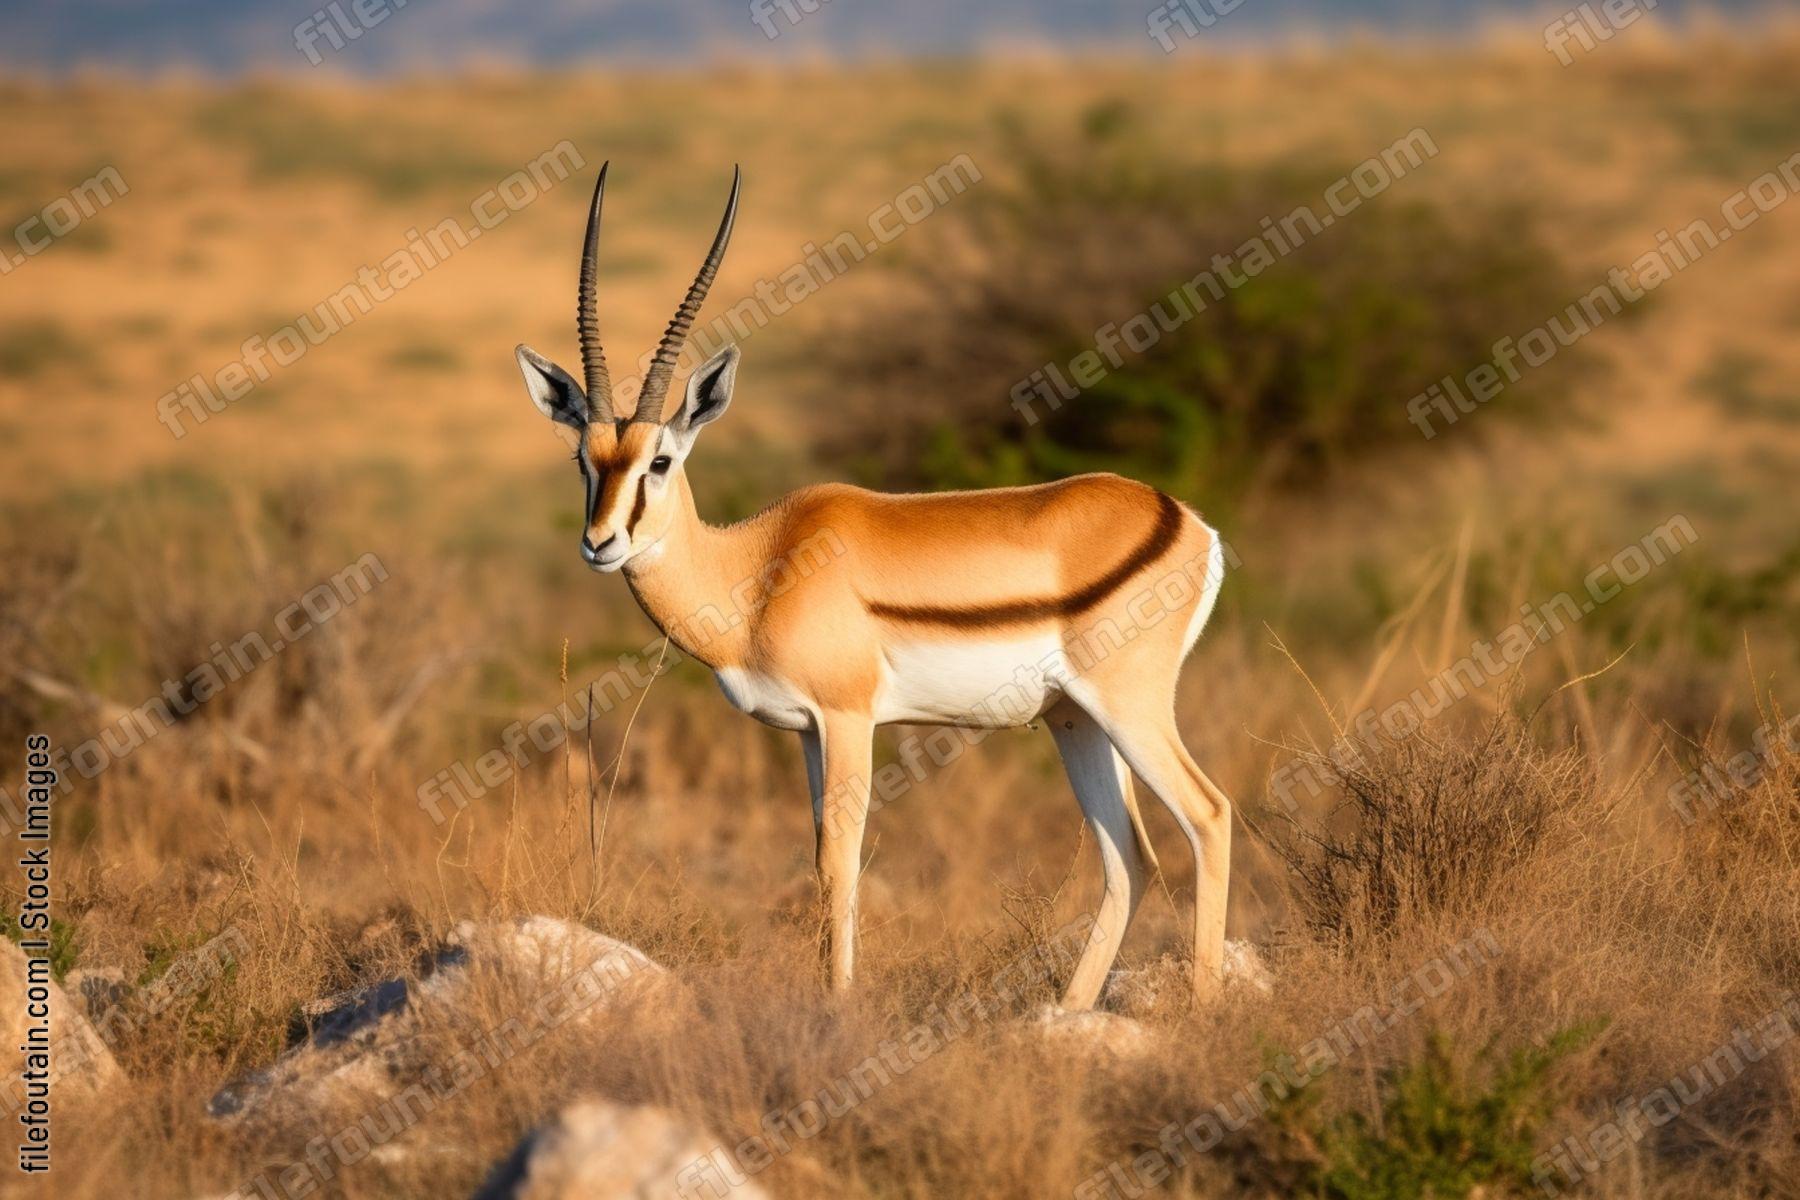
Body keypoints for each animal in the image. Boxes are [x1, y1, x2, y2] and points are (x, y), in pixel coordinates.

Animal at [514, 165, 1234, 1008]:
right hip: (1076, 720)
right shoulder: (805, 733)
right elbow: (819, 857)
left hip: (1129, 707)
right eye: (585, 461)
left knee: (1207, 815)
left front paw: (839, 1008)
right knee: (1130, 855)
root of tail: (1184, 518)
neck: (758, 568)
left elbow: (839, 863)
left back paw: (1201, 1010)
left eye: (658, 460)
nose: (601, 543)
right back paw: (1065, 1016)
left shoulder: (848, 719)